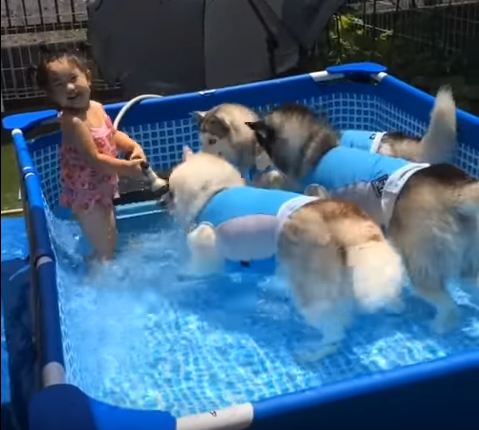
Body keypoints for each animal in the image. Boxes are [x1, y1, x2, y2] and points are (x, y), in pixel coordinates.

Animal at [166, 148, 404, 360]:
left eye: (170, 190)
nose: (165, 204)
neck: (214, 192)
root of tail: (341, 215)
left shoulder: (205, 240)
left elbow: (201, 268)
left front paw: (186, 274)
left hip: (310, 293)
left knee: (334, 332)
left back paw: (315, 351)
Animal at [248, 106, 479, 334]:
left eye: (259, 141)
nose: (254, 170)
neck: (316, 148)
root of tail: (456, 192)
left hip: (420, 263)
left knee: (447, 305)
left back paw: (440, 325)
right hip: (466, 260)